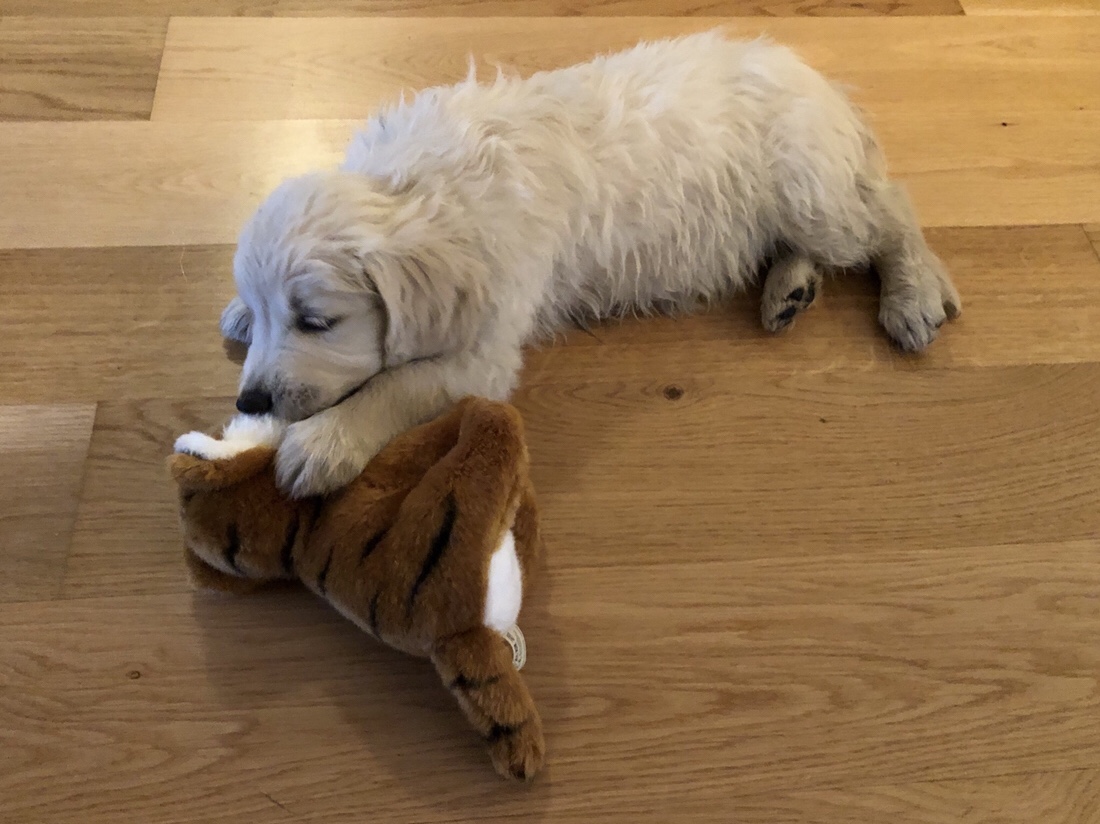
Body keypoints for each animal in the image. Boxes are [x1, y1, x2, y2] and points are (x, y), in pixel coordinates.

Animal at [221, 30, 961, 499]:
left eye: (318, 322)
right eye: (267, 311)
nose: (249, 401)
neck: (419, 187)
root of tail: (823, 84)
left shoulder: (484, 350)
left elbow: (395, 386)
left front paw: (323, 443)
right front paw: (237, 316)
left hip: (808, 189)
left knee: (890, 209)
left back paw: (913, 295)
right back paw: (790, 288)